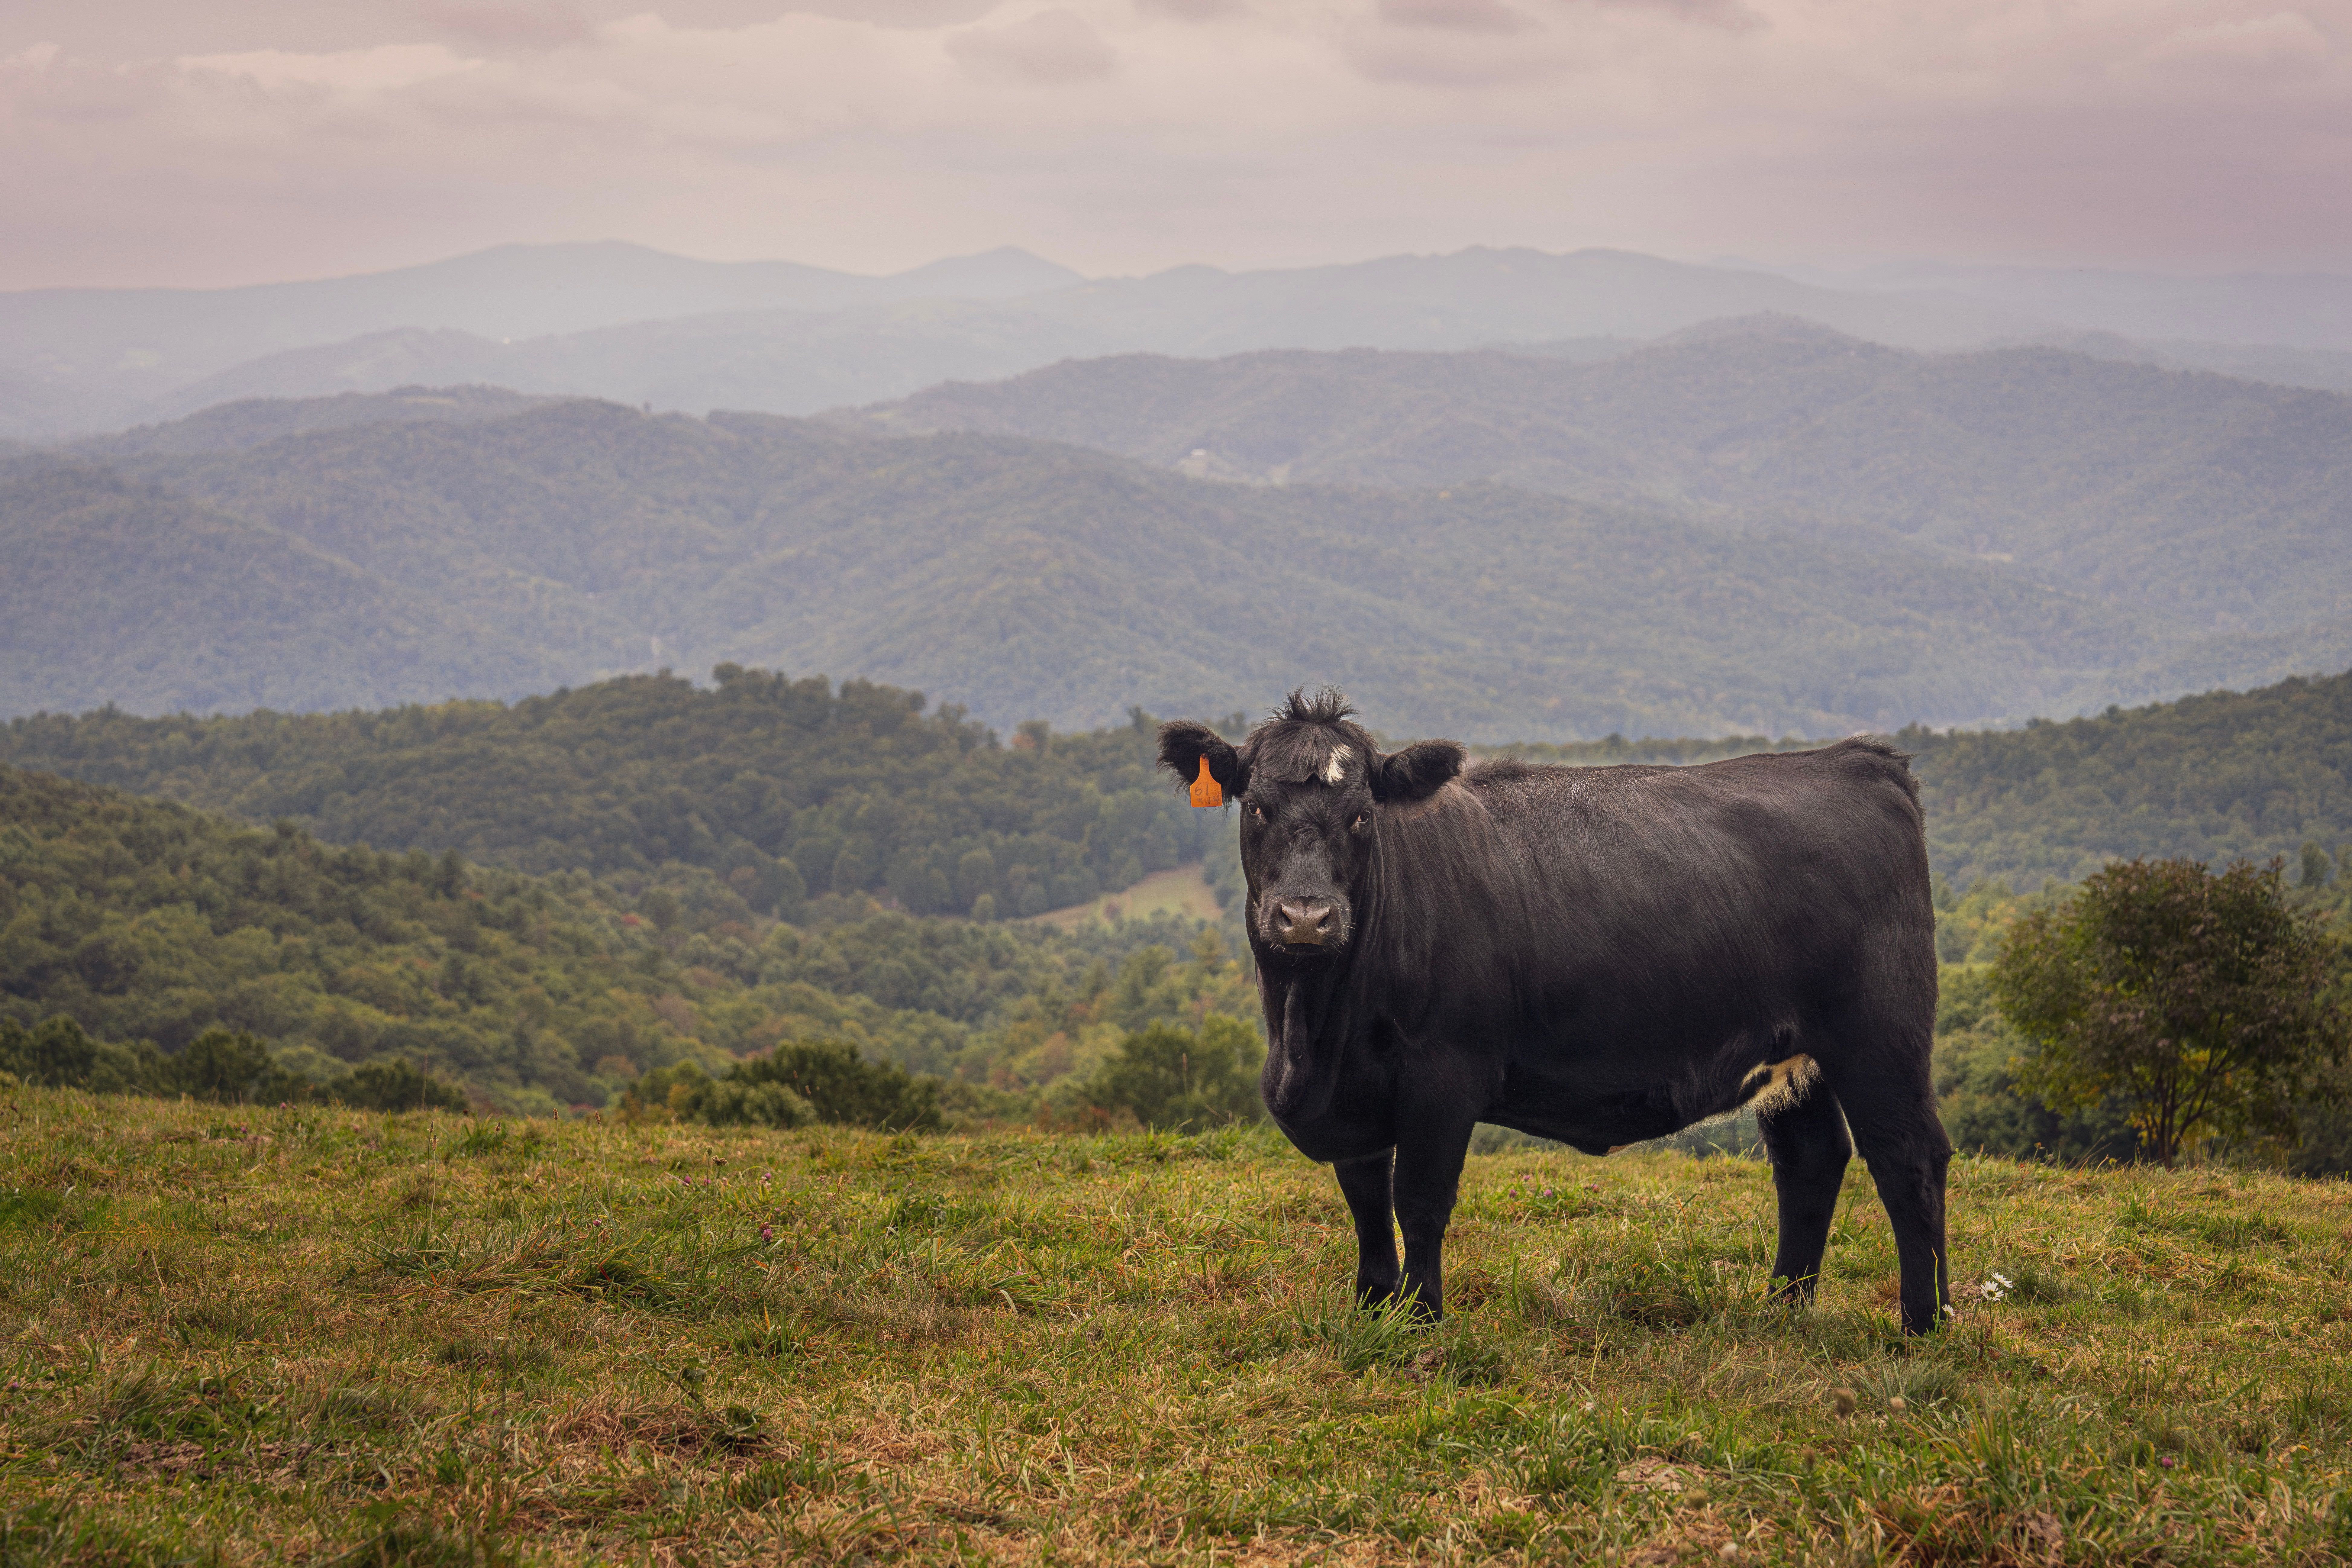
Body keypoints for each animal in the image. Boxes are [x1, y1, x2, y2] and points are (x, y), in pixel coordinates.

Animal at [1159, 691, 1951, 1334]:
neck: (1313, 1033)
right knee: (1810, 1161)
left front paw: (1420, 1320)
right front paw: (1371, 1307)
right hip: (1791, 1050)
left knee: (1908, 1157)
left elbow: (1419, 1201)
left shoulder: (1444, 1077)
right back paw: (1782, 1309)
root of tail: (1855, 760)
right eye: (1256, 807)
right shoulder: (1354, 1095)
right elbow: (1365, 1204)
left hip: (1878, 1033)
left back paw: (1923, 1322)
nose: (1305, 917)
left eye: (1360, 815)